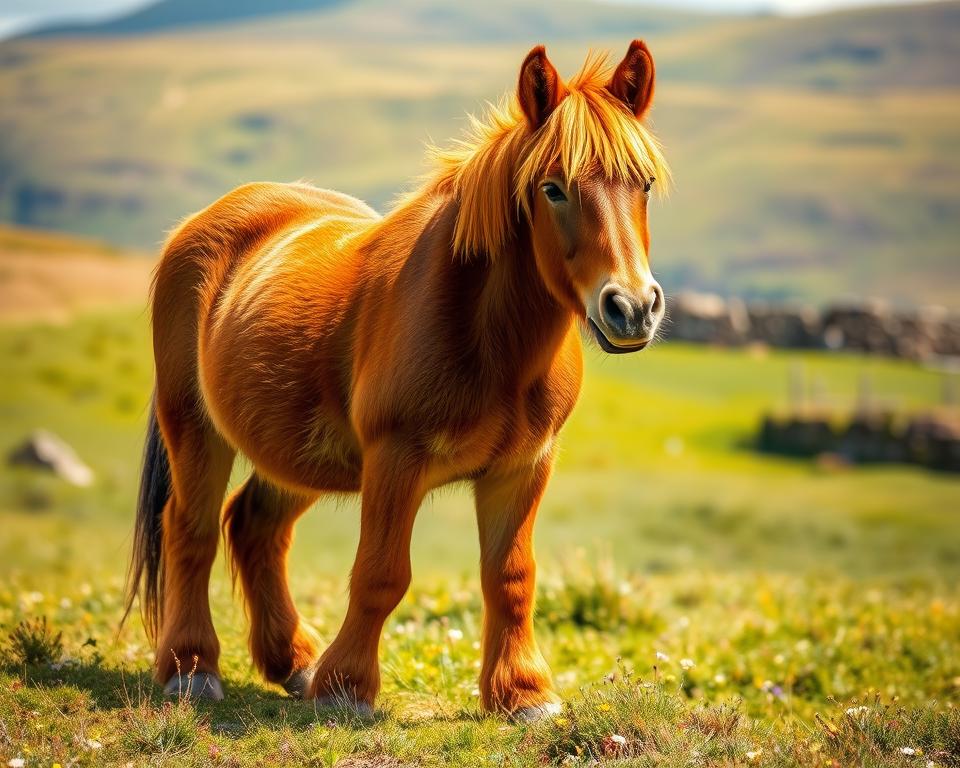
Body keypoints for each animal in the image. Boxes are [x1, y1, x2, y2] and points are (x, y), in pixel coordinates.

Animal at [124, 40, 670, 720]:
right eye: (553, 188)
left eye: (643, 184)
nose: (633, 307)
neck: (489, 342)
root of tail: (205, 219)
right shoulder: (394, 459)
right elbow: (381, 574)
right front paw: (346, 689)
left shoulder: (523, 467)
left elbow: (511, 577)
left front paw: (523, 695)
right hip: (196, 430)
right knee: (189, 528)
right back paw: (192, 669)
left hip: (294, 455)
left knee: (254, 528)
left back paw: (294, 662)